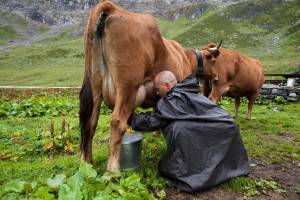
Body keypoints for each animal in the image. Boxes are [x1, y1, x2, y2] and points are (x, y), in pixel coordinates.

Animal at [79, 0, 223, 172]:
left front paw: (156, 136)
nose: (216, 76)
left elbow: (158, 111)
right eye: (213, 61)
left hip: (95, 86)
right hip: (128, 87)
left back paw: (87, 164)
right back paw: (113, 169)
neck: (185, 57)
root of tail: (113, 8)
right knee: (117, 122)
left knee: (90, 123)